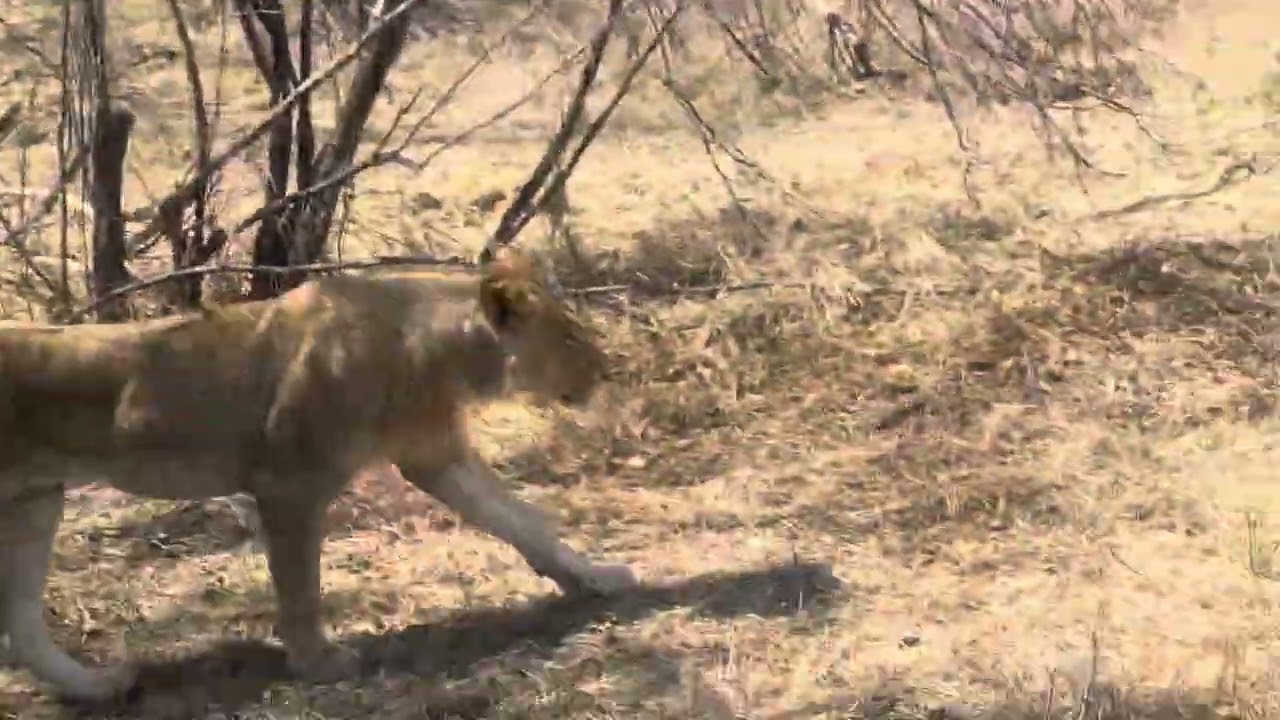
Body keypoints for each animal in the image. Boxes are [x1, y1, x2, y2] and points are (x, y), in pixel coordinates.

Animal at [0, 246, 638, 703]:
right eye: (571, 335)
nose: (610, 370)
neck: (432, 350)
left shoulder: (436, 454)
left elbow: (525, 522)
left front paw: (596, 577)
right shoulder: (289, 484)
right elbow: (300, 584)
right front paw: (316, 662)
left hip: (36, 501)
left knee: (22, 619)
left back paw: (96, 686)